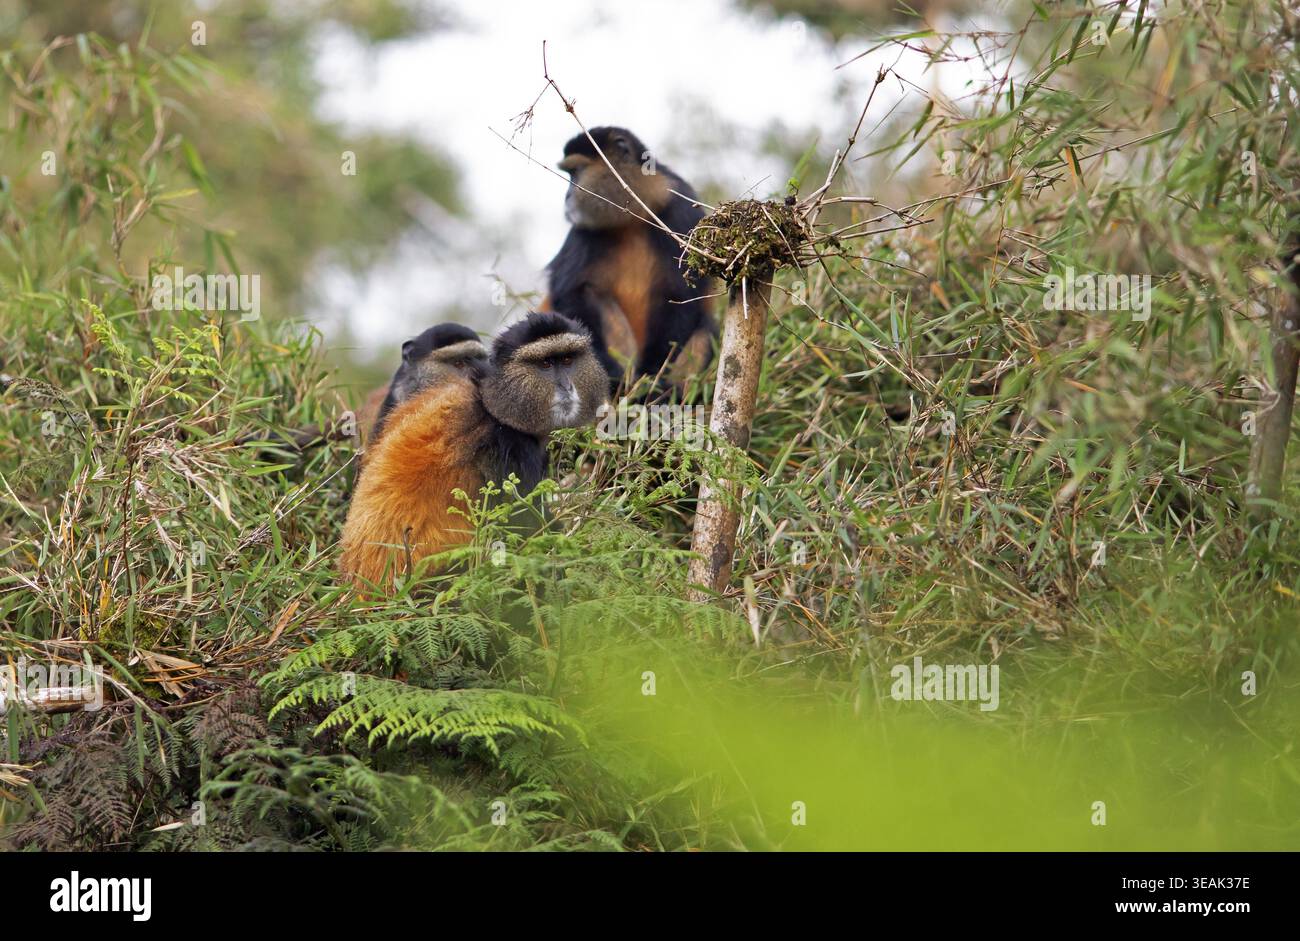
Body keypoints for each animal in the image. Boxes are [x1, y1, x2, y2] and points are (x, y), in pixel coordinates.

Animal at [339, 311, 608, 588]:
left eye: (567, 359)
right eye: (545, 364)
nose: (566, 387)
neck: (491, 402)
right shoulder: (510, 449)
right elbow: (524, 534)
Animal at [541, 126, 715, 392]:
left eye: (576, 173)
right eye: (569, 174)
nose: (567, 196)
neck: (633, 216)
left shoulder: (680, 210)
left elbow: (682, 294)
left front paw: (654, 374)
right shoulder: (584, 230)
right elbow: (570, 291)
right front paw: (609, 372)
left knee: (706, 325)